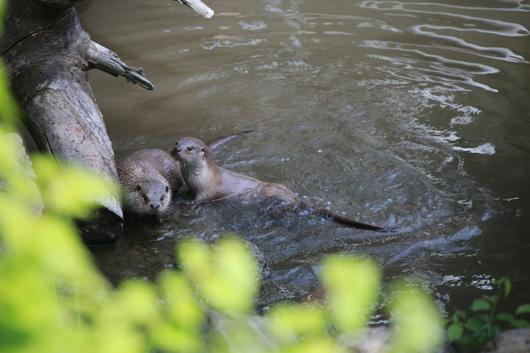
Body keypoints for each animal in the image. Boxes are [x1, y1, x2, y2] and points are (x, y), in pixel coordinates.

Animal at [172, 137, 384, 231]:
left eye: (189, 148)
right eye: (177, 143)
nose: (176, 150)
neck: (200, 177)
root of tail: (296, 197)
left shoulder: (207, 192)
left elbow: (197, 201)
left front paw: (181, 204)